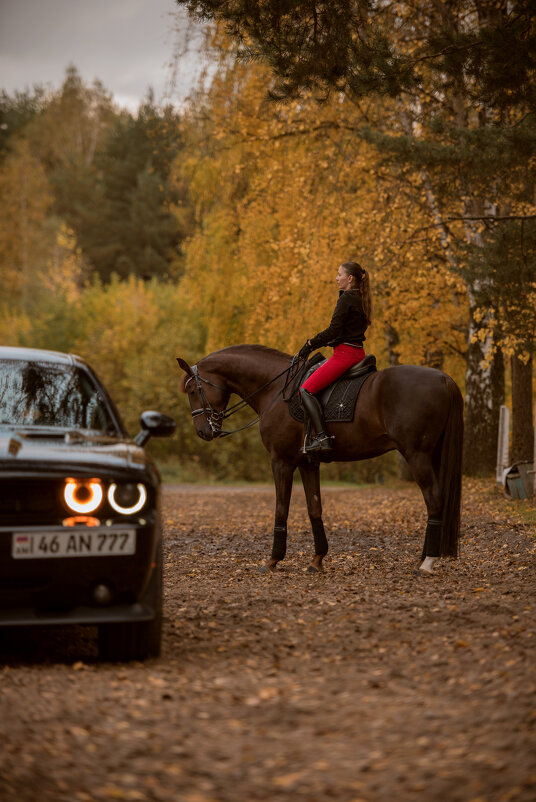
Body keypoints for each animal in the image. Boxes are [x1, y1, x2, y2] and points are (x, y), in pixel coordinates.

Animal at [178, 344, 462, 576]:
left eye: (192, 390)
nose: (203, 432)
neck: (276, 389)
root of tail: (444, 378)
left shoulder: (281, 461)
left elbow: (281, 508)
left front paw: (273, 560)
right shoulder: (307, 463)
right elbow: (314, 507)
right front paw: (317, 560)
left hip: (417, 455)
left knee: (434, 499)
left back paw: (428, 562)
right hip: (432, 455)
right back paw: (425, 557)